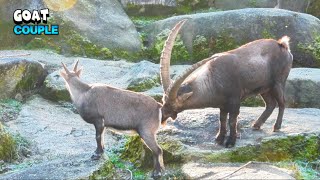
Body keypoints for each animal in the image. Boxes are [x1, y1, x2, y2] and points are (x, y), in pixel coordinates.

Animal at [160, 19, 292, 147]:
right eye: (163, 100)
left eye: (172, 104)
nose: (162, 116)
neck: (213, 79)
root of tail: (283, 45)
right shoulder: (223, 104)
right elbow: (222, 119)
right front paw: (219, 139)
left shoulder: (235, 100)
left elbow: (232, 120)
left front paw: (230, 142)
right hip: (264, 88)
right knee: (270, 103)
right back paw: (256, 125)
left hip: (278, 82)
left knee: (282, 102)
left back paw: (276, 127)